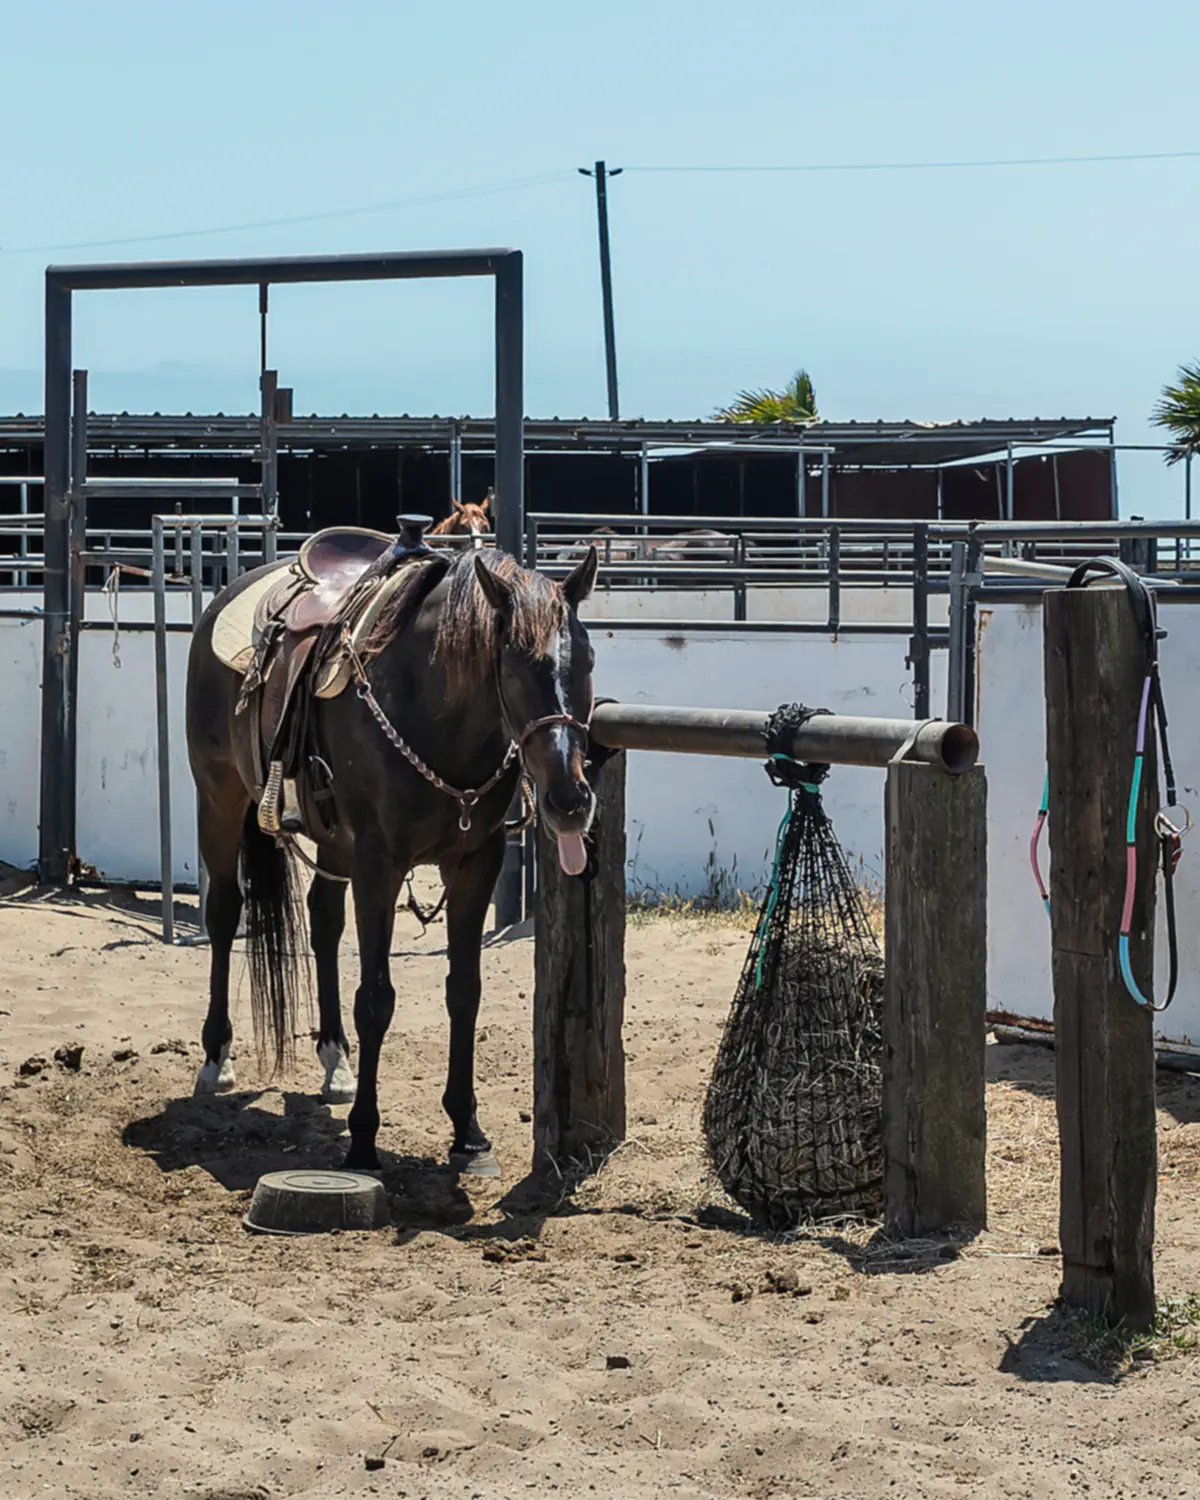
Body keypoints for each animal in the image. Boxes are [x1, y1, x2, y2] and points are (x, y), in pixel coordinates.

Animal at [185, 538, 600, 1175]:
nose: (570, 801)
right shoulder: (380, 865)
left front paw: (468, 1131)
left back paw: (335, 1059)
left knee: (324, 920)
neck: (431, 712)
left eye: (589, 661)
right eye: (512, 666)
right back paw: (217, 1056)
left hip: (333, 843)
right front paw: (362, 1140)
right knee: (226, 913)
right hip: (220, 799)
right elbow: (376, 999)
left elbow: (465, 990)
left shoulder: (475, 862)